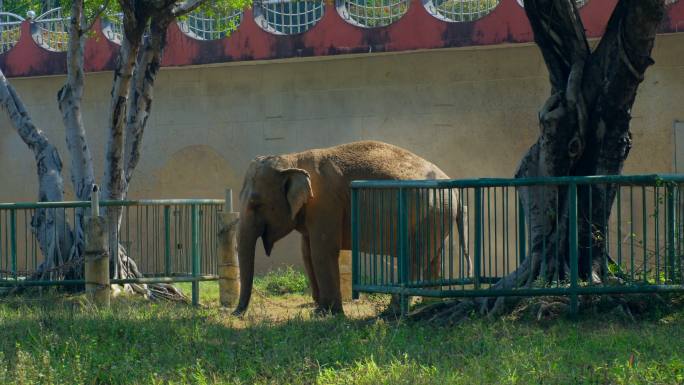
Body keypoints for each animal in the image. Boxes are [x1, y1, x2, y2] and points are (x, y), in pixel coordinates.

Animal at [232, 140, 468, 314]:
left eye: (255, 203)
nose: (236, 313)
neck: (293, 159)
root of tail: (455, 189)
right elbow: (307, 253)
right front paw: (318, 311)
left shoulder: (326, 203)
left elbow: (322, 251)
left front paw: (330, 314)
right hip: (436, 217)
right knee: (433, 257)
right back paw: (428, 304)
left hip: (430, 215)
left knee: (414, 258)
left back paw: (391, 312)